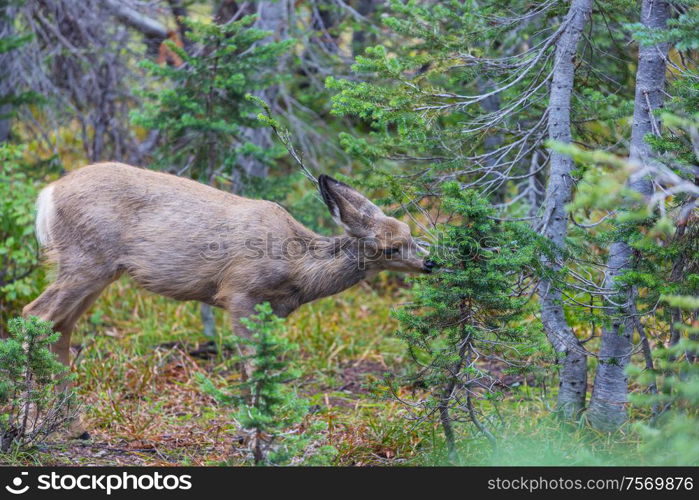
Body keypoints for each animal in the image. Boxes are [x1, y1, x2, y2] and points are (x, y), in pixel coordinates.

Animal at [21, 163, 434, 438]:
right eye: (390, 247)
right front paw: (255, 429)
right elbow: (252, 364)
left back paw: (73, 424)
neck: (298, 269)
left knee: (60, 328)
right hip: (87, 259)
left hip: (97, 272)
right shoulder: (239, 292)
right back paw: (27, 422)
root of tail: (48, 194)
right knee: (34, 315)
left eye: (409, 231)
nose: (431, 262)